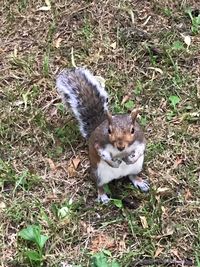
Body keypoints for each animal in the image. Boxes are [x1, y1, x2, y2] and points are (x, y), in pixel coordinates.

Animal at [55, 68, 149, 204]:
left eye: (132, 130)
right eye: (109, 130)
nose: (121, 146)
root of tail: (118, 176)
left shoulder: (140, 138)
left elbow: (141, 148)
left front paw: (131, 158)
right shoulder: (99, 143)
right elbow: (103, 154)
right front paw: (113, 163)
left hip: (136, 168)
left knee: (132, 176)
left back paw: (140, 182)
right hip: (98, 174)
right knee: (99, 185)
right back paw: (103, 196)